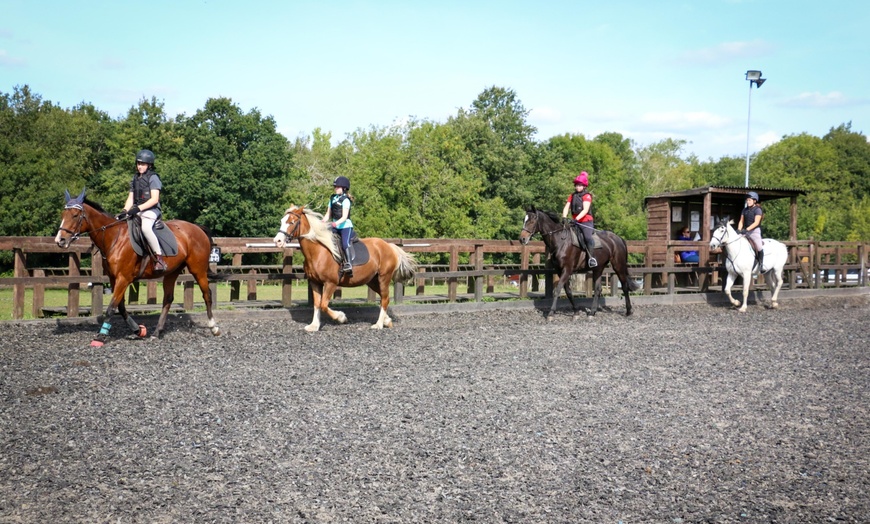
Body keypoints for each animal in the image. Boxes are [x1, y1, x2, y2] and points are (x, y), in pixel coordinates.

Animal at [54, 187, 221, 344]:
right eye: (63, 215)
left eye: (75, 215)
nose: (60, 240)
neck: (114, 238)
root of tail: (197, 228)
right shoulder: (114, 279)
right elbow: (120, 306)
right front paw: (138, 330)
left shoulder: (123, 279)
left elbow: (111, 307)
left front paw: (101, 337)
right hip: (172, 272)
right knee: (168, 299)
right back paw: (157, 332)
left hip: (197, 270)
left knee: (207, 294)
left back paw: (214, 327)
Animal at [274, 206, 420, 332]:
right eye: (281, 221)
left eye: (292, 222)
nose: (277, 241)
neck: (318, 251)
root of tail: (389, 246)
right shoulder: (315, 282)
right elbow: (316, 304)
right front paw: (314, 326)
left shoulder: (331, 283)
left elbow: (323, 305)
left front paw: (341, 317)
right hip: (372, 281)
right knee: (385, 298)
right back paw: (387, 320)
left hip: (384, 278)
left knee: (384, 299)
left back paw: (378, 324)